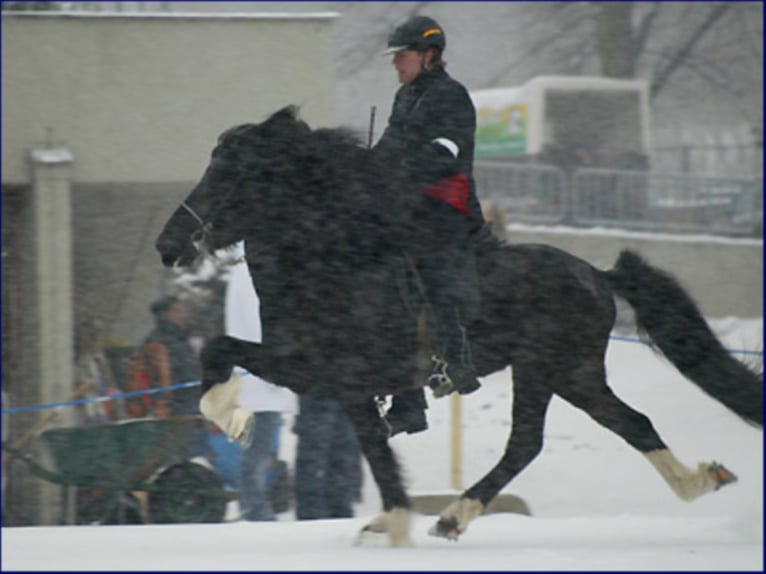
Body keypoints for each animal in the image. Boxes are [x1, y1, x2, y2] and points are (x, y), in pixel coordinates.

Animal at [154, 107, 760, 544]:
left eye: (233, 170)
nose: (169, 244)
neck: (334, 260)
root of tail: (597, 274)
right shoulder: (331, 381)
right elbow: (222, 351)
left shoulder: (323, 373)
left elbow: (223, 351)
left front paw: (235, 421)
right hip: (574, 374)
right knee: (627, 424)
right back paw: (699, 480)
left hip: (547, 369)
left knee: (528, 442)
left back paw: (454, 516)